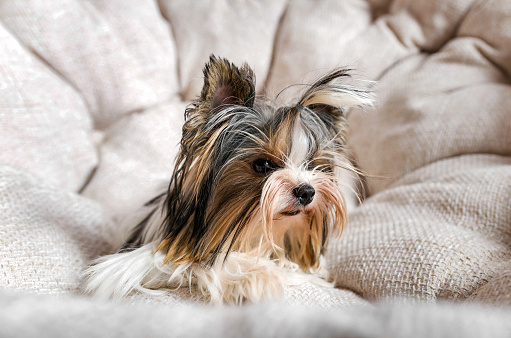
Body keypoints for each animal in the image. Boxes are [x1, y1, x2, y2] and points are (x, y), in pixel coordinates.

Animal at [83, 55, 372, 304]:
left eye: (313, 166)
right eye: (263, 165)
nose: (307, 191)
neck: (252, 232)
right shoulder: (134, 263)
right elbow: (206, 263)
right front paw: (258, 278)